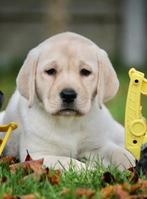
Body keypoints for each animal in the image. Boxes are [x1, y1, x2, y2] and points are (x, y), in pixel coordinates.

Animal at [0, 32, 135, 169]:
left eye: (85, 71)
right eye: (50, 71)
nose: (68, 95)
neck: (68, 122)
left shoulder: (96, 146)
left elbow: (118, 153)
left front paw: (132, 166)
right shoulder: (37, 155)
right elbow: (71, 162)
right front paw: (91, 170)